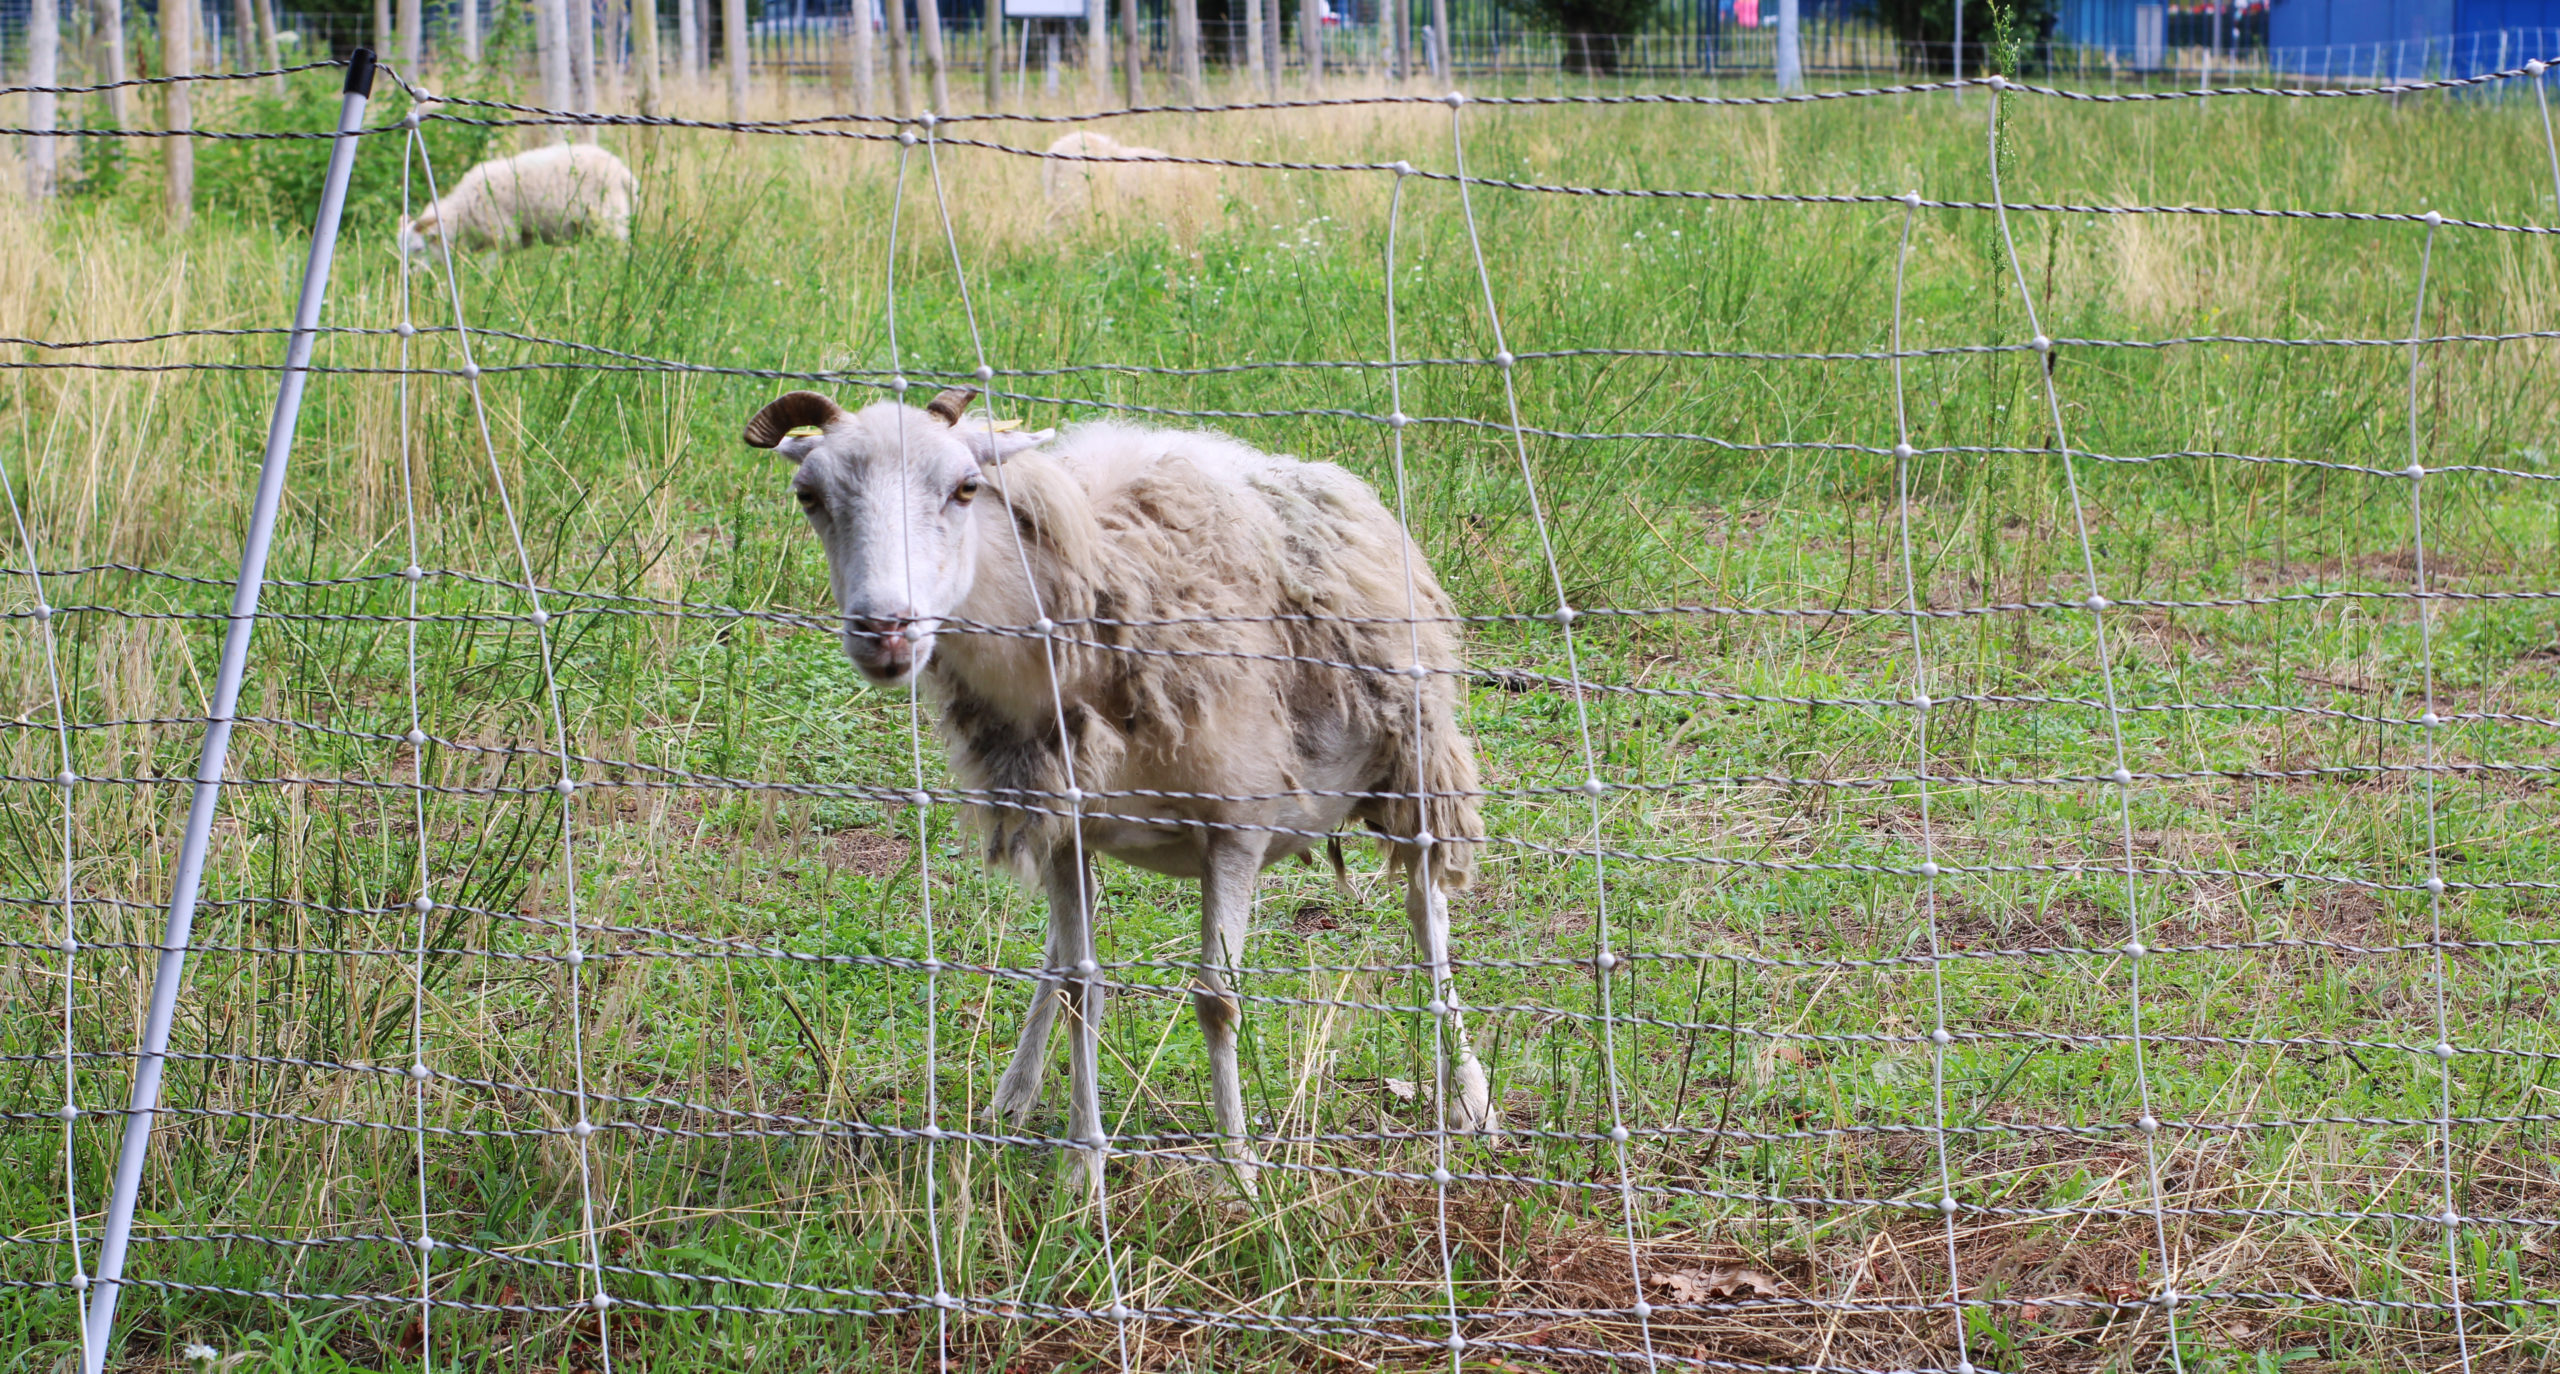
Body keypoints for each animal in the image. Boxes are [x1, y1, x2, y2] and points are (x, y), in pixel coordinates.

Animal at [743, 386, 1494, 1189]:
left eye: (965, 488)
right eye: (809, 496)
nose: (884, 630)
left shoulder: (1237, 827)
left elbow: (1217, 1001)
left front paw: (1241, 1171)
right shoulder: (1063, 827)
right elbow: (1082, 989)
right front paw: (1083, 1169)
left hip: (1416, 769)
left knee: (1428, 918)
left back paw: (1469, 1098)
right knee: (1055, 956)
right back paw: (1013, 1093)